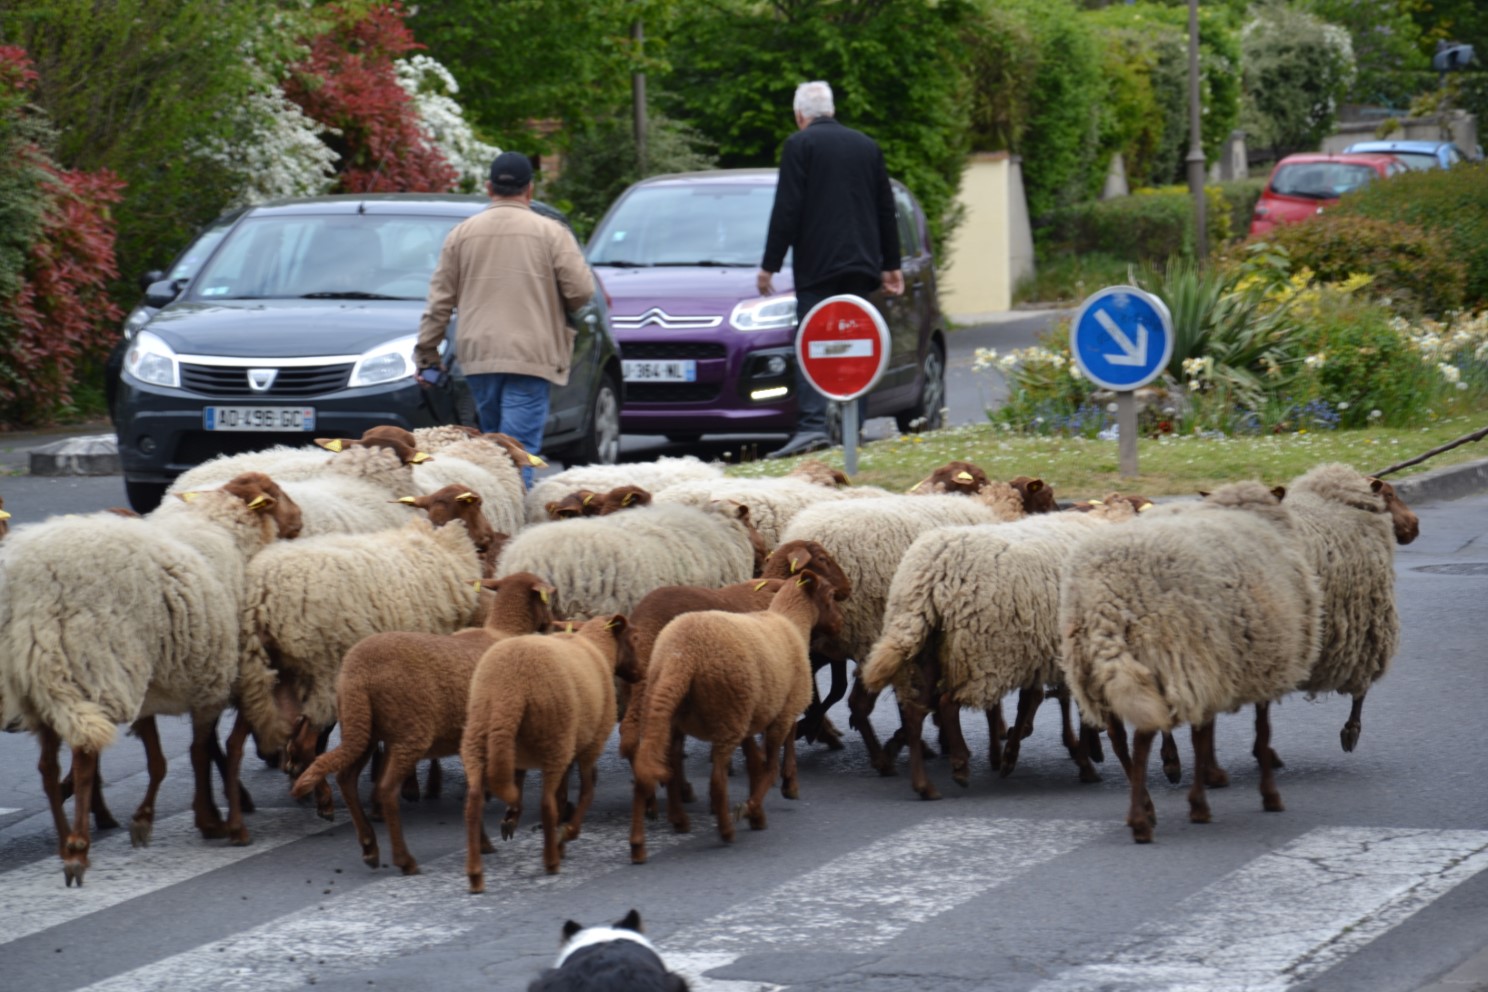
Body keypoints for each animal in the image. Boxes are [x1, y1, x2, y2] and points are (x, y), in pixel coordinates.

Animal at [0, 472, 299, 886]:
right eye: (275, 496)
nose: (299, 520)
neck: (224, 529)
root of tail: (32, 577)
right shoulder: (211, 680)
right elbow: (198, 751)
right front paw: (209, 819)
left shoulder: (153, 688)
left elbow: (160, 759)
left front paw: (151, 819)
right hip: (93, 668)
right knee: (84, 757)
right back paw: (77, 849)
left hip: (41, 681)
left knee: (48, 768)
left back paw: (64, 842)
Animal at [464, 612, 627, 886]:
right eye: (632, 636)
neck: (595, 648)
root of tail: (511, 687)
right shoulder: (587, 746)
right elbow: (586, 791)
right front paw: (567, 833)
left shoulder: (522, 753)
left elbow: (525, 785)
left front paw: (512, 818)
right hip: (555, 740)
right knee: (547, 804)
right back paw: (552, 860)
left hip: (479, 735)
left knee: (474, 802)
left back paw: (475, 873)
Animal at [1059, 484, 1327, 844]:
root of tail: (1105, 599)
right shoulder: (1252, 668)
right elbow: (1258, 732)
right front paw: (1262, 796)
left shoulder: (1213, 670)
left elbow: (1204, 736)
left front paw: (1203, 796)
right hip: (1163, 657)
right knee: (1142, 737)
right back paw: (1141, 821)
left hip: (1095, 669)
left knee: (1118, 738)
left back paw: (1146, 807)